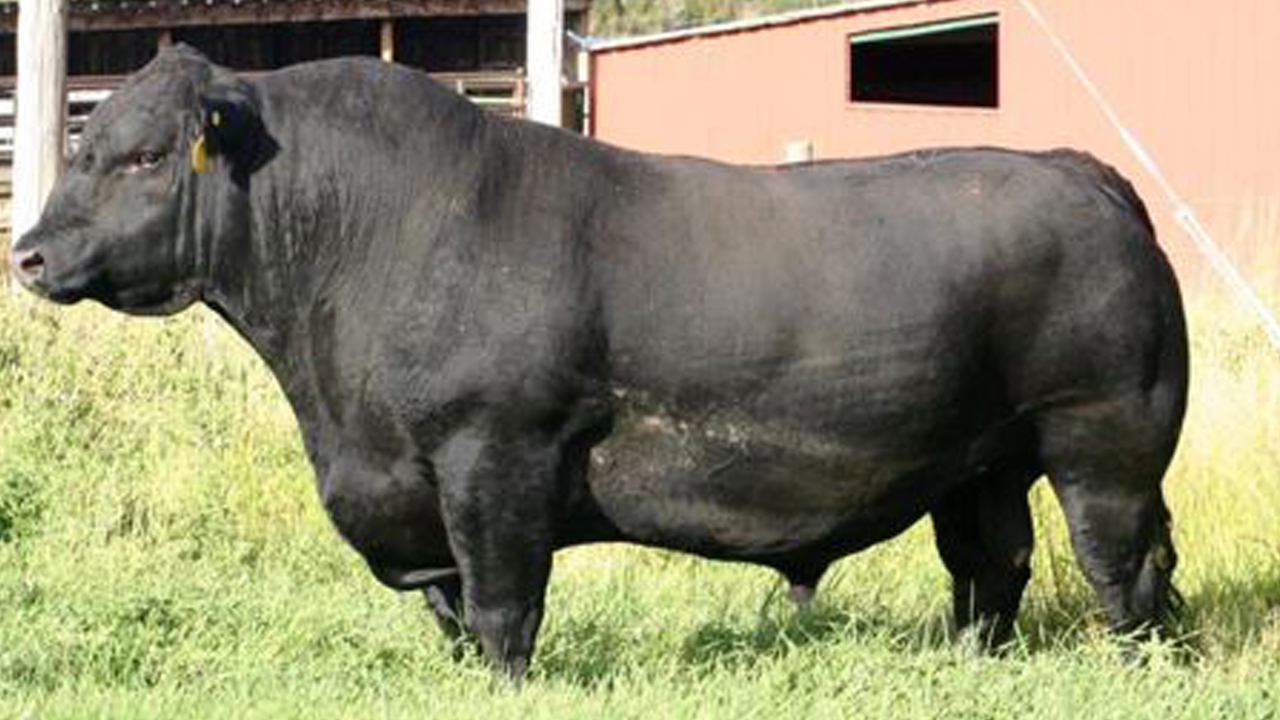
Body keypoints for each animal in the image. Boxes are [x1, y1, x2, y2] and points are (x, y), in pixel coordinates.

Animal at [10, 47, 1187, 676]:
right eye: (84, 143)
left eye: (144, 155)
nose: (27, 253)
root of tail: (1076, 169)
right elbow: (450, 612)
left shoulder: (495, 455)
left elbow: (500, 607)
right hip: (981, 458)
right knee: (990, 565)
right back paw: (968, 663)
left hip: (1102, 441)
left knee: (1123, 566)